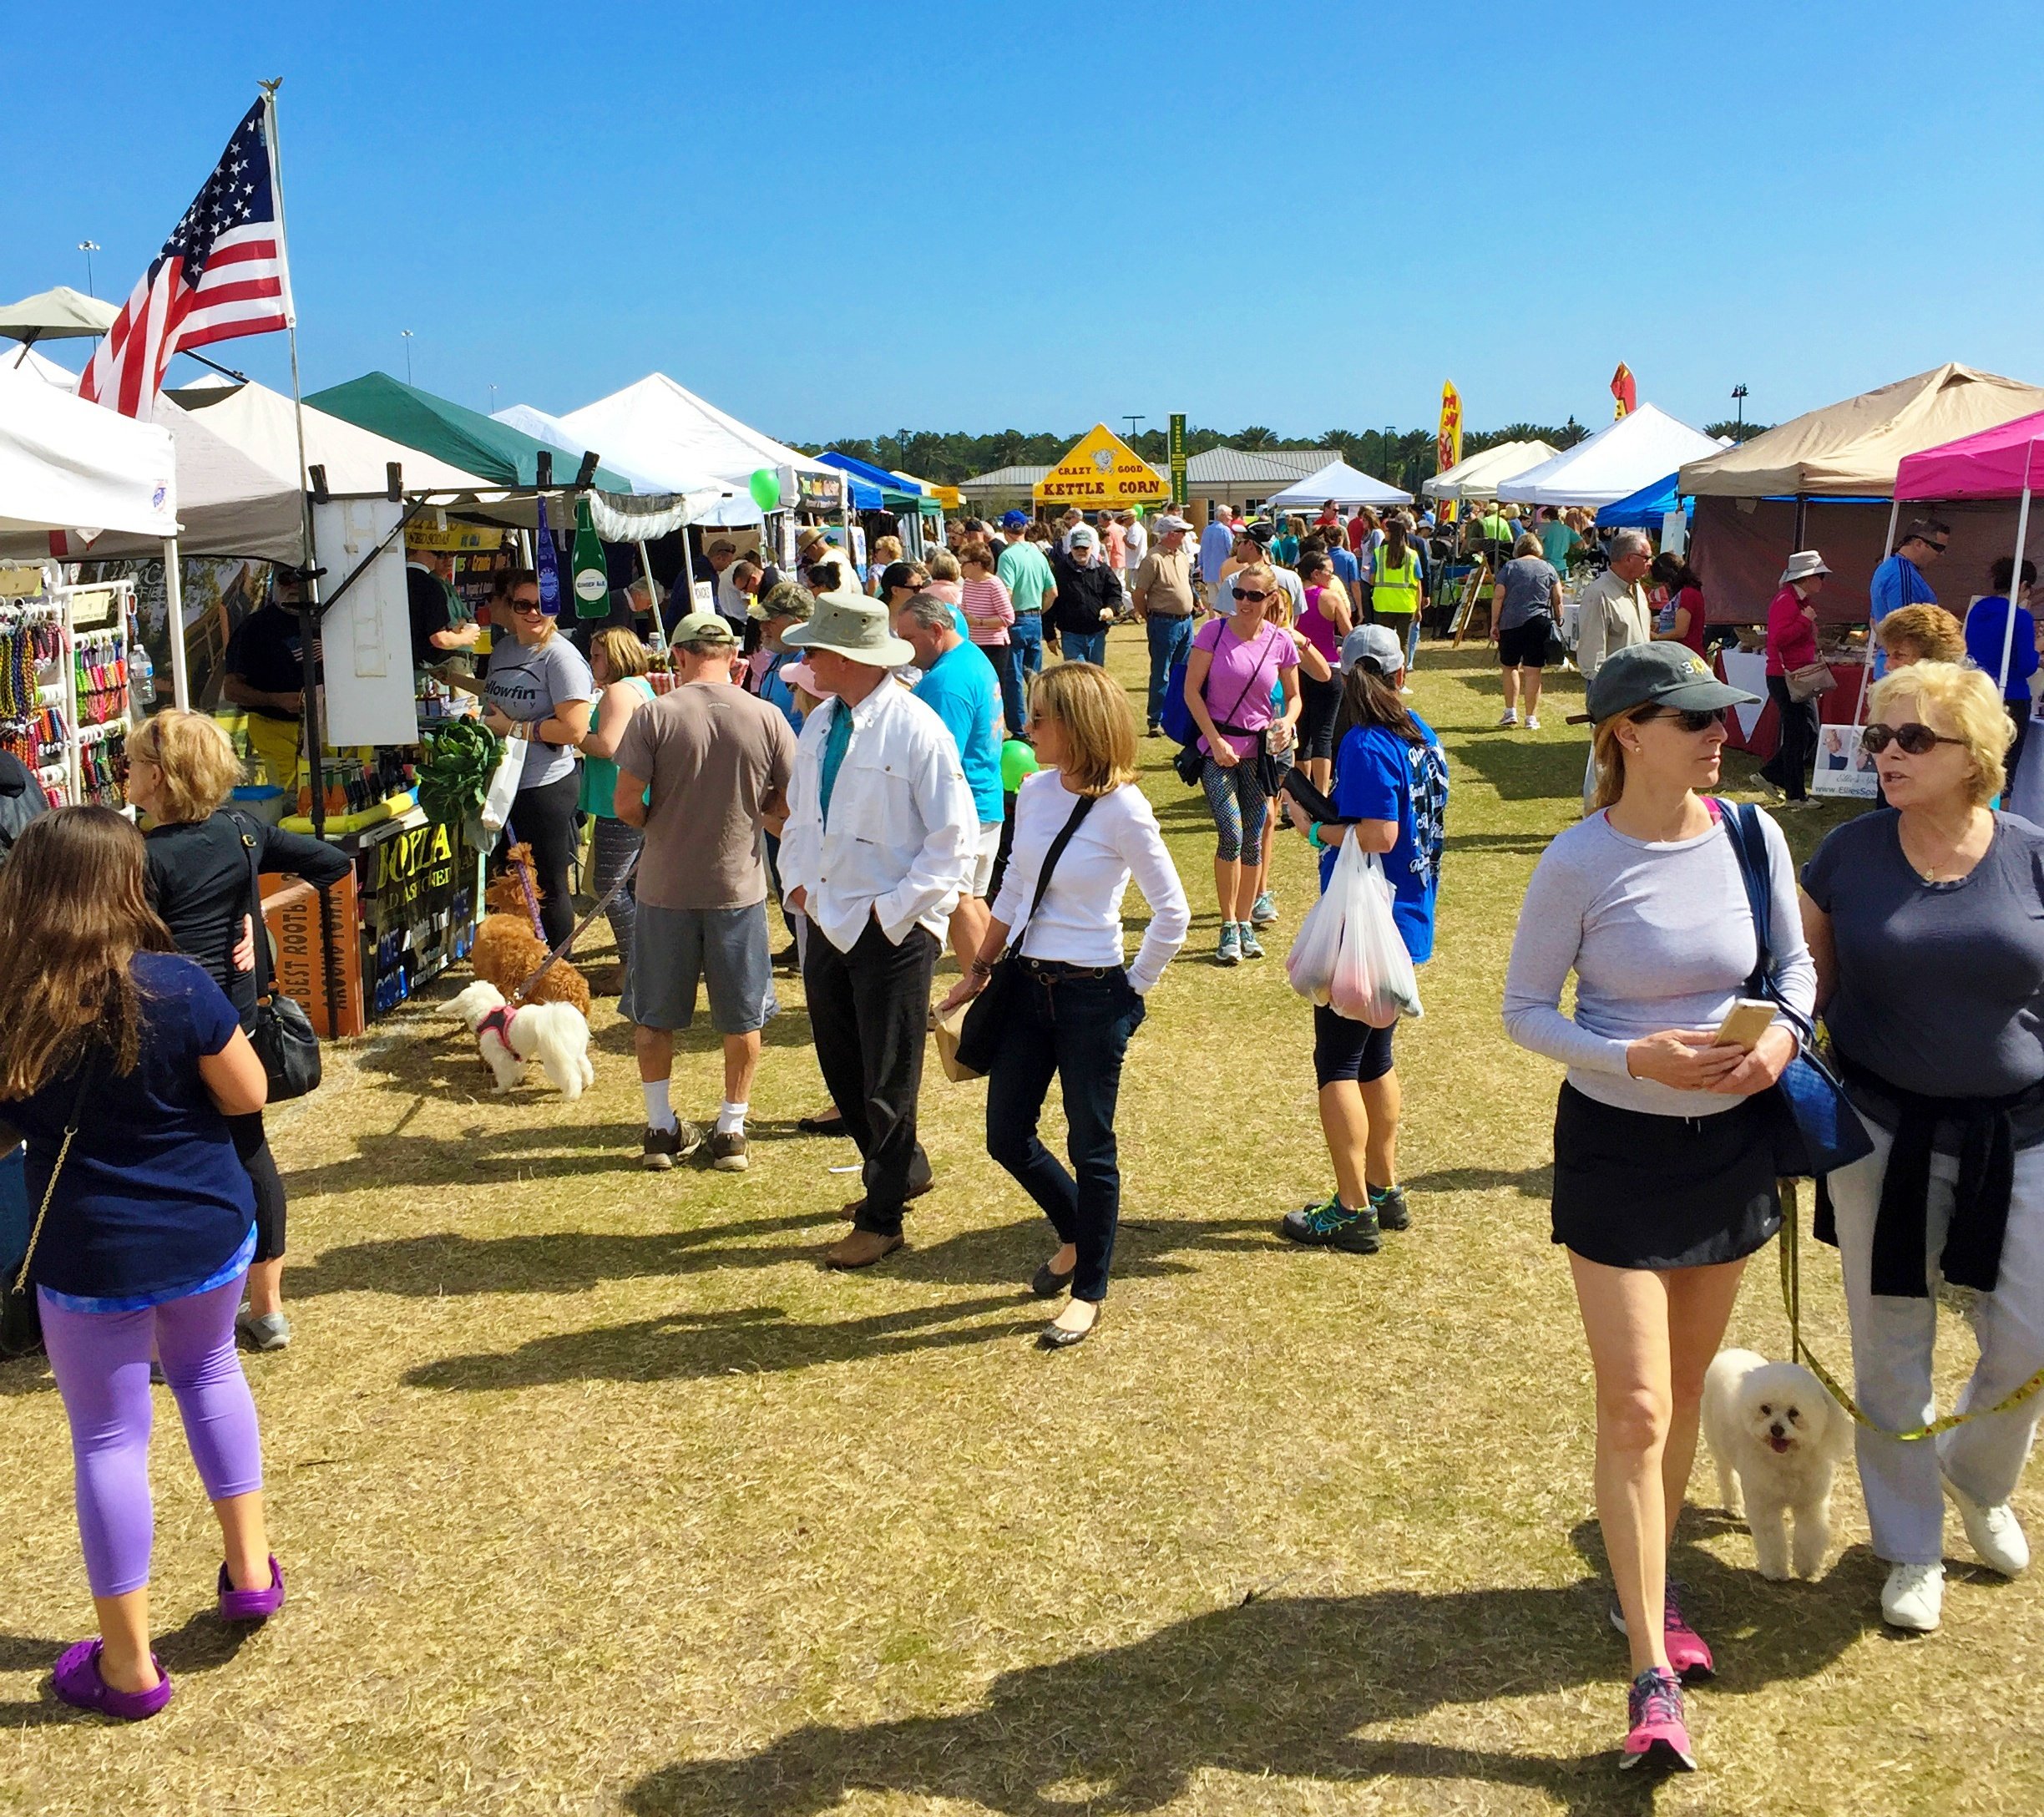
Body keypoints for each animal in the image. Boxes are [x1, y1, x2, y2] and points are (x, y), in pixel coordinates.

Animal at [445, 984, 592, 1095]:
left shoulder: (500, 1056)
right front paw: (516, 1080)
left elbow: (503, 1074)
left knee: (571, 1074)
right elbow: (517, 1069)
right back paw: (587, 1083)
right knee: (585, 1066)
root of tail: (559, 1017)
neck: (489, 1014)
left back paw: (571, 1094)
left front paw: (501, 1089)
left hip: (555, 1054)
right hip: (574, 1051)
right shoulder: (518, 1055)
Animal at [1700, 1340, 1864, 1577]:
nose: (1776, 1429)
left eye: (1794, 1413)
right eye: (1765, 1409)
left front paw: (1807, 1568)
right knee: (1726, 1474)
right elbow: (1772, 1539)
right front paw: (1775, 1571)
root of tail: (1729, 1353)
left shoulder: (1810, 1504)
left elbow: (1809, 1535)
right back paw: (1735, 1505)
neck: (1787, 1461)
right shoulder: (1765, 1504)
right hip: (1718, 1444)